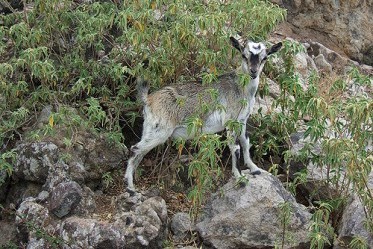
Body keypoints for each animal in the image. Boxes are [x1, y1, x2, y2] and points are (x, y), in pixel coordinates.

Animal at [123, 36, 280, 190]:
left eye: (265, 57)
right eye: (243, 55)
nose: (253, 71)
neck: (240, 87)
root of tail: (149, 99)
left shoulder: (242, 121)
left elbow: (246, 143)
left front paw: (255, 169)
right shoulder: (230, 120)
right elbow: (235, 147)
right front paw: (239, 178)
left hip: (149, 128)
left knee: (139, 152)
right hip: (161, 131)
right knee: (134, 149)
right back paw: (130, 187)